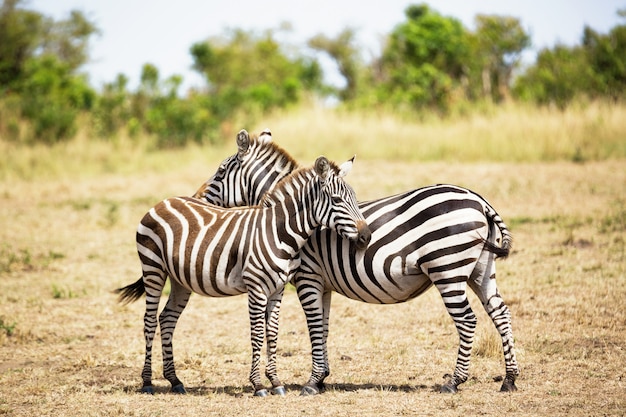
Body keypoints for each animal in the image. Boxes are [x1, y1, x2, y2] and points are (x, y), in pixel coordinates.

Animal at [115, 137, 370, 396]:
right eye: (337, 200)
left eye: (354, 198)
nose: (366, 237)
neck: (279, 231)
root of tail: (163, 201)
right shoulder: (256, 288)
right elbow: (257, 334)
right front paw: (258, 385)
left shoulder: (278, 289)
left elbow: (272, 333)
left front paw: (275, 382)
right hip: (153, 269)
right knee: (148, 321)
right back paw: (147, 382)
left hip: (180, 279)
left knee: (167, 319)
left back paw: (175, 380)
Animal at [194, 129, 516, 394]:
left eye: (220, 171)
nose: (196, 198)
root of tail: (478, 199)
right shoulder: (322, 283)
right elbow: (323, 326)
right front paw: (322, 378)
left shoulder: (307, 277)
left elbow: (314, 326)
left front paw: (312, 382)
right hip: (481, 270)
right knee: (500, 313)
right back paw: (510, 379)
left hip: (447, 269)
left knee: (468, 319)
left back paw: (454, 381)